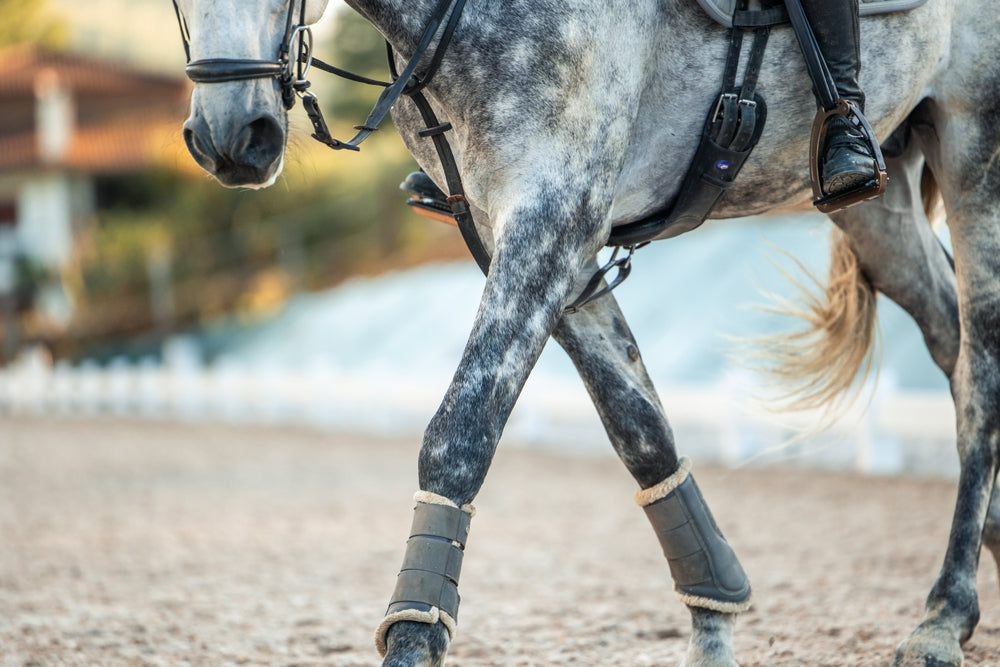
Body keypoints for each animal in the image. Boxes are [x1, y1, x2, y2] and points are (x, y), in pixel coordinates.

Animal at [171, 0, 1000, 664]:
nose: (233, 138)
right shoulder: (530, 238)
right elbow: (642, 431)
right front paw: (714, 618)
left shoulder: (551, 219)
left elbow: (460, 434)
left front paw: (411, 637)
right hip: (877, 196)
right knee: (949, 341)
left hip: (975, 154)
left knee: (979, 378)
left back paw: (941, 619)